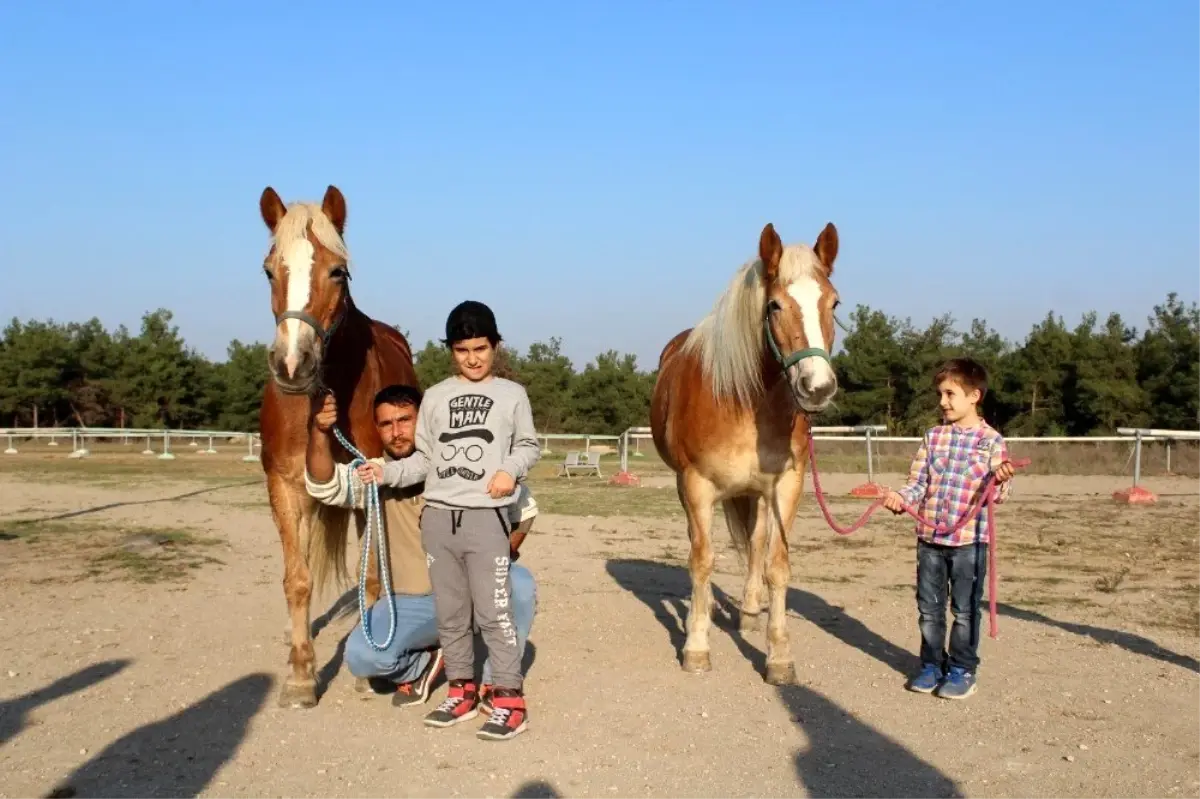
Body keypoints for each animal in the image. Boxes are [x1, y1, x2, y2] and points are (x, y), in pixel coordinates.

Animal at [256, 184, 417, 705]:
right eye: (269, 269)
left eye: (337, 271)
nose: (292, 364)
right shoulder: (285, 487)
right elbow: (297, 580)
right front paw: (301, 674)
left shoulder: (372, 488)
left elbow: (372, 577)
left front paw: (367, 669)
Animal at [652, 220, 840, 681]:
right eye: (774, 305)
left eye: (834, 303)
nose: (818, 388)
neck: (743, 400)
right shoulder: (697, 486)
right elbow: (701, 560)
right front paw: (696, 646)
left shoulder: (787, 485)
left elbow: (778, 564)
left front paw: (780, 656)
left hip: (757, 492)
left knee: (755, 544)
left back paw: (751, 612)